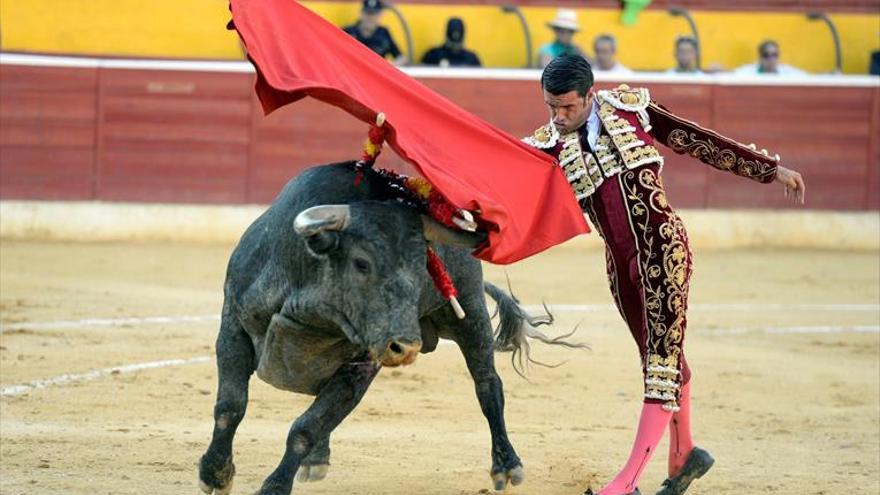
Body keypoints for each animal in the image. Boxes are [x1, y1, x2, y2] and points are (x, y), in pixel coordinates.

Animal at [197, 163, 576, 495]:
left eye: (423, 266)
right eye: (362, 263)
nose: (405, 347)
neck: (309, 308)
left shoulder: (360, 367)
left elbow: (305, 427)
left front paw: (273, 486)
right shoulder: (232, 327)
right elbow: (230, 407)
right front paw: (215, 474)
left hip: (470, 313)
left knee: (488, 385)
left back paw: (507, 466)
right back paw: (317, 460)